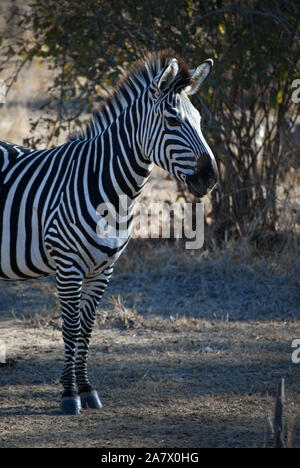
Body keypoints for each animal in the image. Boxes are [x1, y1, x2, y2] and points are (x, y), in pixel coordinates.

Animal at [1, 52, 219, 414]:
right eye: (172, 121)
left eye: (200, 121)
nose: (211, 177)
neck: (113, 192)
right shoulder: (68, 266)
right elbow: (71, 327)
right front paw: (69, 394)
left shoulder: (104, 270)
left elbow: (87, 329)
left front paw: (86, 389)